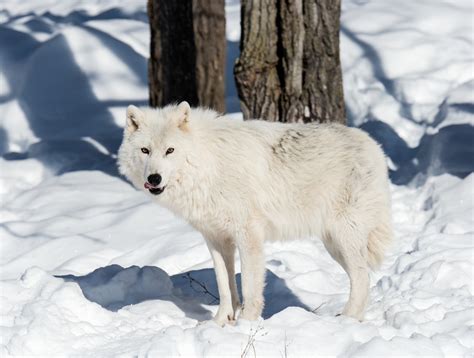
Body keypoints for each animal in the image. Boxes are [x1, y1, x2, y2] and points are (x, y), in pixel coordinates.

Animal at [118, 100, 392, 324]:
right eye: (145, 151)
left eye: (170, 150)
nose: (154, 178)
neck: (208, 166)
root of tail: (374, 146)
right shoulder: (216, 238)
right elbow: (225, 286)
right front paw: (220, 323)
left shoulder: (248, 235)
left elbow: (249, 287)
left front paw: (246, 324)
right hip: (334, 245)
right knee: (362, 277)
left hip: (343, 238)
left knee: (362, 277)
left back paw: (347, 320)